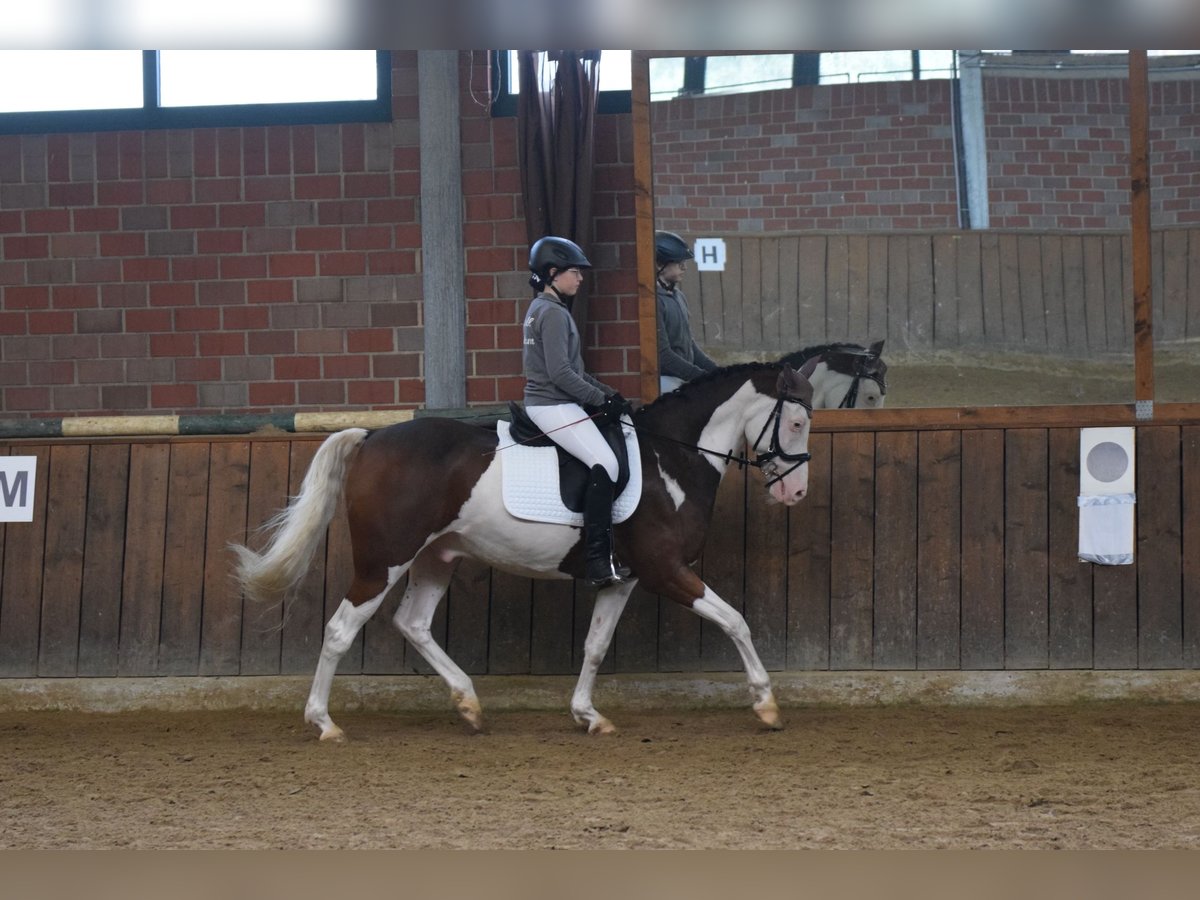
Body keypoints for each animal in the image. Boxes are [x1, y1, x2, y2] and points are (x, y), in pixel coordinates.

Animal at [231, 362, 816, 744]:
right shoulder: (664, 571)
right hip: (385, 560)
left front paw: (588, 715)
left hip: (437, 558)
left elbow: (595, 647)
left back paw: (469, 705)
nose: (795, 494)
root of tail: (373, 438)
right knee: (340, 630)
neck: (667, 458)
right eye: (796, 422)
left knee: (414, 623)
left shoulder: (624, 578)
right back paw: (325, 723)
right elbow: (735, 620)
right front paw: (767, 705)